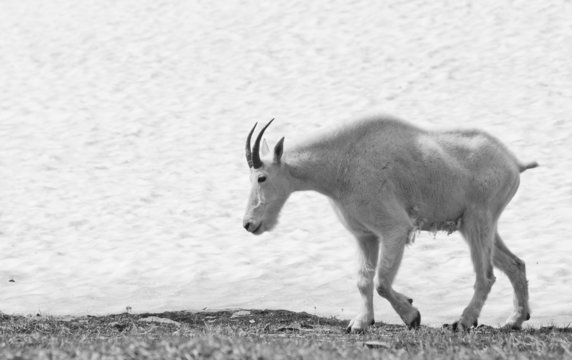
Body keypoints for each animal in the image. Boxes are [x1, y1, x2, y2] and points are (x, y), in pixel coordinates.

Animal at [241, 116, 536, 332]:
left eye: (262, 177)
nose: (248, 224)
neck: (338, 168)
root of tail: (514, 164)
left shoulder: (394, 229)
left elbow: (382, 280)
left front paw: (412, 315)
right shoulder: (364, 235)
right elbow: (363, 280)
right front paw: (360, 323)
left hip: (479, 219)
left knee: (485, 275)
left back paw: (462, 321)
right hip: (476, 224)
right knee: (515, 264)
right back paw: (515, 320)